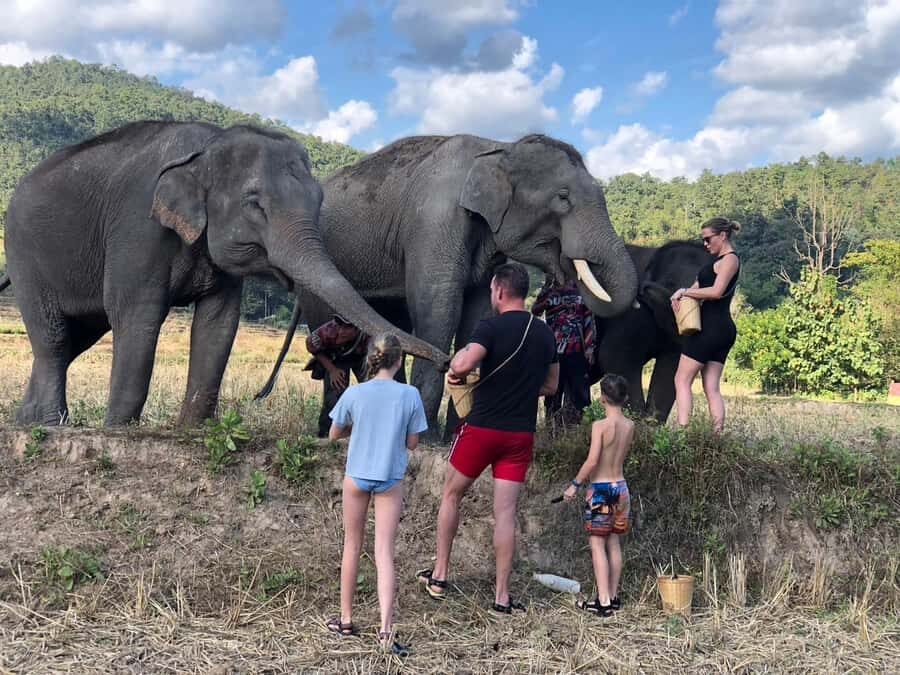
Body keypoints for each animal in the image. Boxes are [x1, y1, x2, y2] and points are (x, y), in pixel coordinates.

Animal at [3, 121, 449, 427]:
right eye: (255, 204)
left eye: (319, 199)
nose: (449, 361)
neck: (206, 149)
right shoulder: (137, 229)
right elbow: (136, 315)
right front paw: (118, 429)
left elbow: (219, 324)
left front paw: (193, 429)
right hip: (25, 256)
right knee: (56, 339)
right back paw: (51, 425)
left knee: (75, 339)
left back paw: (28, 421)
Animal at [261, 134, 639, 437]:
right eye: (562, 197)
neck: (498, 148)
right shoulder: (434, 223)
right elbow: (438, 308)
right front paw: (427, 439)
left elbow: (477, 313)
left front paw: (455, 435)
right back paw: (327, 432)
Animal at [590, 241, 713, 422]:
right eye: (669, 284)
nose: (644, 288)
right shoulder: (630, 314)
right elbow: (616, 357)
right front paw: (636, 423)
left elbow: (672, 368)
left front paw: (651, 423)